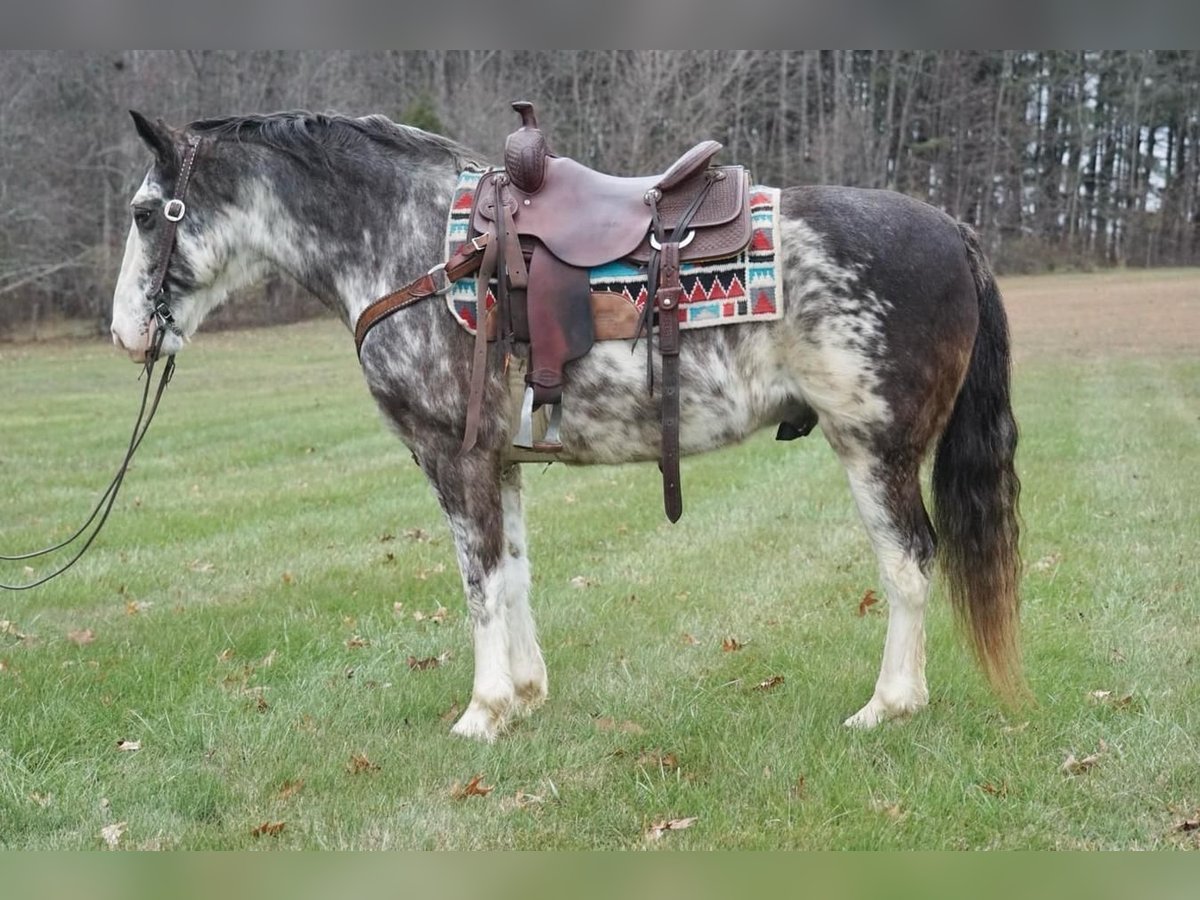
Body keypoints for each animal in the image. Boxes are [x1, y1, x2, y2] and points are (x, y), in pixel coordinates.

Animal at [110, 109, 1022, 744]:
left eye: (150, 213)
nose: (125, 334)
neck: (414, 244)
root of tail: (954, 230)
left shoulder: (453, 459)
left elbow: (477, 584)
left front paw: (482, 713)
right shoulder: (499, 460)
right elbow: (512, 574)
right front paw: (524, 697)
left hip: (874, 448)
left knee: (909, 563)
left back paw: (888, 706)